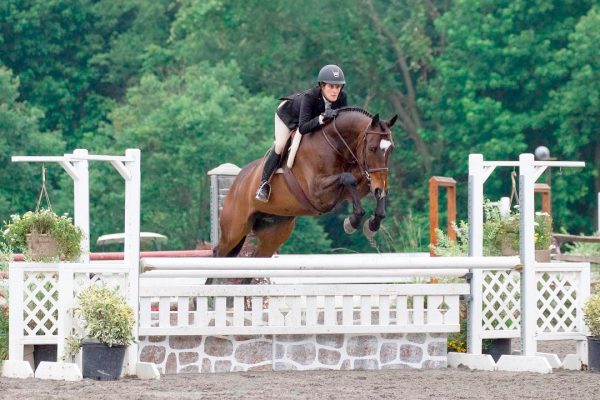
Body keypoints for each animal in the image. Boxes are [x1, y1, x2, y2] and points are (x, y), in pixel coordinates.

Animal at [213, 106, 396, 258]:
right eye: (372, 148)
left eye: (391, 149)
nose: (379, 187)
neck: (334, 144)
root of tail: (237, 181)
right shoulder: (318, 193)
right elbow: (347, 178)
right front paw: (352, 222)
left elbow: (368, 187)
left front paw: (372, 224)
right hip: (234, 230)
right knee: (219, 252)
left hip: (274, 233)